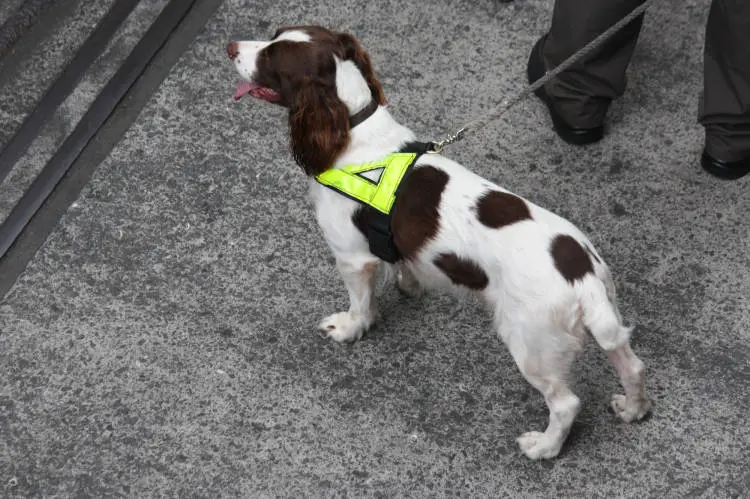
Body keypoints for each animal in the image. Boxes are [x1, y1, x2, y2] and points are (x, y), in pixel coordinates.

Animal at [225, 26, 652, 460]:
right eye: (274, 35)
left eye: (273, 57)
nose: (229, 47)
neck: (353, 128)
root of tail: (583, 278)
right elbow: (400, 263)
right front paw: (407, 284)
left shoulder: (352, 257)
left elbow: (360, 304)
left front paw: (349, 328)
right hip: (604, 319)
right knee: (632, 365)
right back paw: (632, 409)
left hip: (532, 343)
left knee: (566, 403)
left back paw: (544, 446)